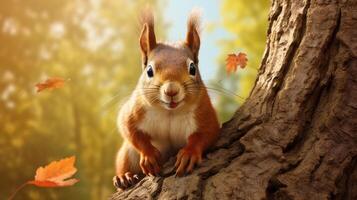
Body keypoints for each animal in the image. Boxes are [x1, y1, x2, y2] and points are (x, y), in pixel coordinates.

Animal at [113, 9, 220, 191]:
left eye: (193, 68)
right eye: (149, 70)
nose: (171, 90)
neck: (169, 112)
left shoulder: (205, 112)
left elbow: (207, 133)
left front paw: (189, 153)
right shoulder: (135, 109)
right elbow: (128, 128)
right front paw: (149, 155)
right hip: (127, 153)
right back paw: (123, 177)